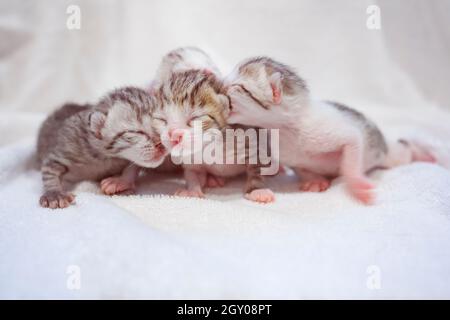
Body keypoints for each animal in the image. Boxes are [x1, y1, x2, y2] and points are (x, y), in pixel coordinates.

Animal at [37, 86, 167, 209]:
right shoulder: (67, 145)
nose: (161, 143)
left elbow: (133, 166)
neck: (104, 156)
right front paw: (54, 194)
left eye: (161, 126)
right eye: (138, 132)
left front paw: (121, 182)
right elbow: (49, 170)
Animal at [227, 56, 434, 204]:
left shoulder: (325, 130)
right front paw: (315, 180)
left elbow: (352, 142)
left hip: (387, 154)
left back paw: (424, 155)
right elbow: (301, 168)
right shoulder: (285, 153)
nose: (221, 84)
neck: (285, 129)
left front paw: (356, 184)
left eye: (236, 86)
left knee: (404, 149)